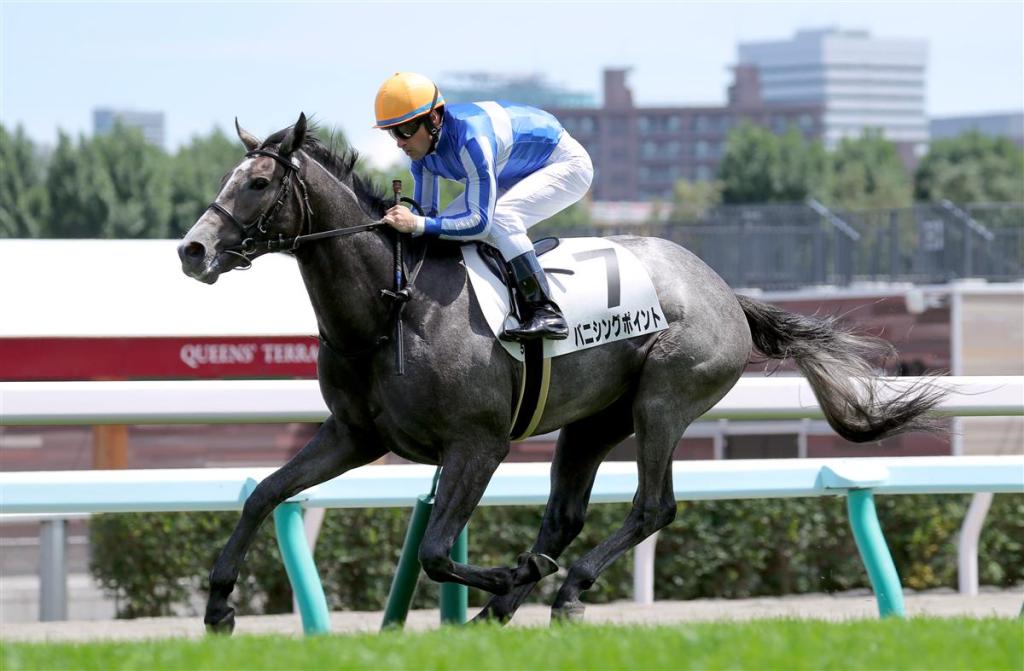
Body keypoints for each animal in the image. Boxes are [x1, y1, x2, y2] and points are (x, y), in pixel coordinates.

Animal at [178, 113, 945, 633]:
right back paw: (505, 604)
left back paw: (562, 588)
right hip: (593, 421)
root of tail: (728, 292)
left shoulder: (478, 442)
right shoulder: (353, 435)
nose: (193, 249)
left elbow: (434, 550)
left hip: (664, 400)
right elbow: (264, 493)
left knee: (651, 507)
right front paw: (218, 603)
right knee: (565, 515)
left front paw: (508, 572)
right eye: (225, 179)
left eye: (258, 182)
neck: (390, 306)